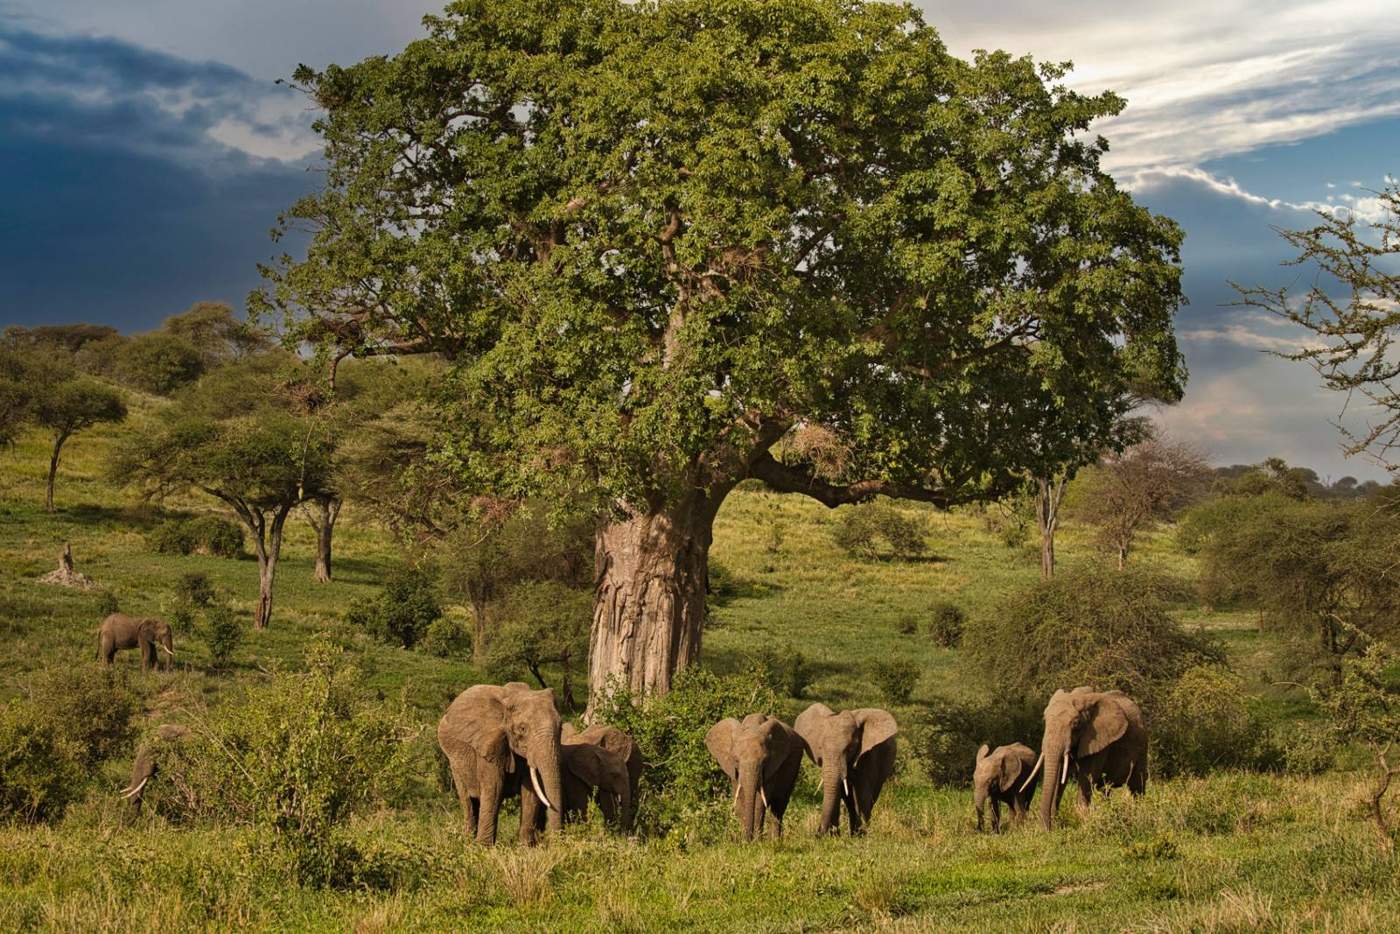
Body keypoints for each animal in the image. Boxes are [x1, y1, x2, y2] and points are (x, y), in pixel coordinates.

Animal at [437, 682, 566, 846]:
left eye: (560, 727)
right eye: (522, 729)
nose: (552, 843)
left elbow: (530, 792)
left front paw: (526, 848)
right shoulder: (489, 744)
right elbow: (494, 787)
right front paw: (483, 848)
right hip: (454, 759)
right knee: (468, 800)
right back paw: (467, 842)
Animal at [793, 703, 898, 835]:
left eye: (850, 749)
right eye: (820, 748)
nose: (817, 833)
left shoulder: (868, 755)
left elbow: (862, 791)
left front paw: (862, 835)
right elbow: (840, 791)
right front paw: (834, 835)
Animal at [1022, 687, 1148, 829]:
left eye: (1075, 723)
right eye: (1045, 720)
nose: (1046, 829)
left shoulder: (1098, 741)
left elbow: (1086, 778)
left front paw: (1081, 822)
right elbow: (1059, 776)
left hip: (1142, 747)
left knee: (1137, 786)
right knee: (1106, 790)